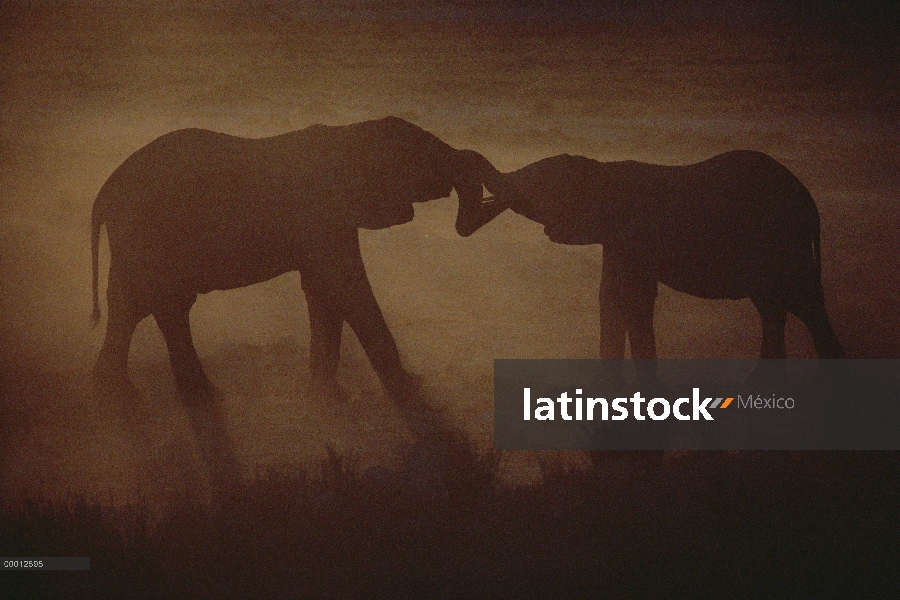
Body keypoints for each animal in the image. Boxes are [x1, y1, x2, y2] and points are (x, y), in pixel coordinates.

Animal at [460, 152, 848, 364]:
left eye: (538, 187)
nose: (464, 220)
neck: (603, 171)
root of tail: (809, 202)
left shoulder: (635, 237)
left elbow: (635, 300)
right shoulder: (617, 242)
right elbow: (610, 299)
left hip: (785, 246)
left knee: (802, 303)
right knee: (773, 309)